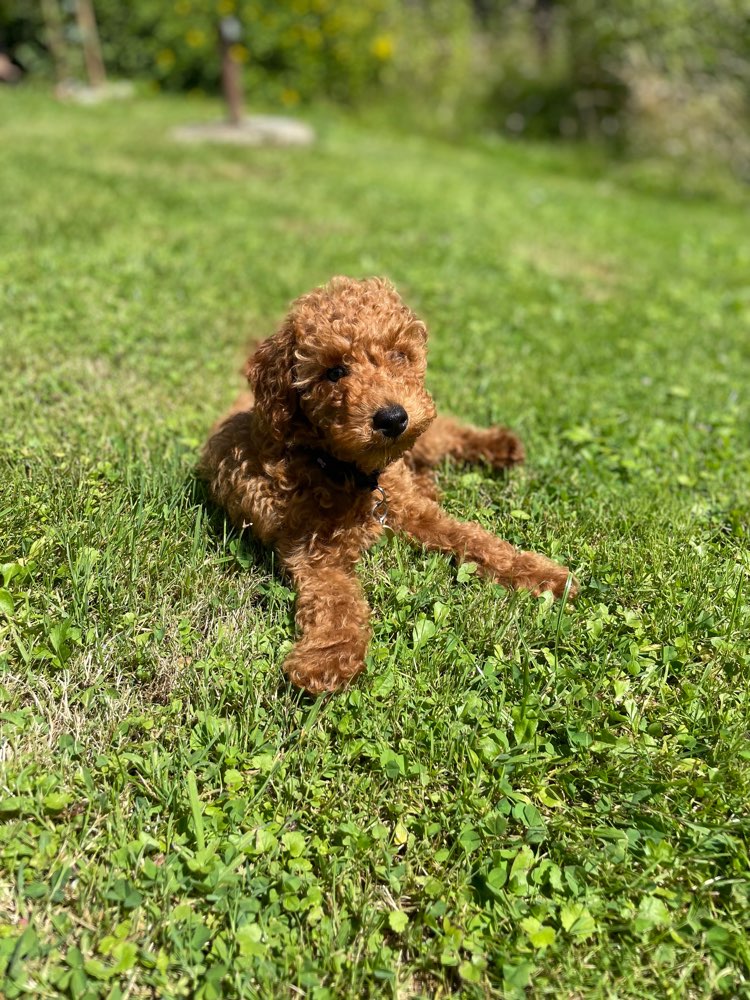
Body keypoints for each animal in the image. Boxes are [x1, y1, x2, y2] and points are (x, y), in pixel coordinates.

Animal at [203, 276, 580, 696]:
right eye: (334, 372)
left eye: (398, 355)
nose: (392, 419)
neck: (351, 473)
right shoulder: (311, 552)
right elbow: (336, 602)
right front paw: (328, 656)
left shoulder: (416, 512)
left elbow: (477, 540)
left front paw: (543, 574)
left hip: (425, 437)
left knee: (447, 435)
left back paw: (499, 445)